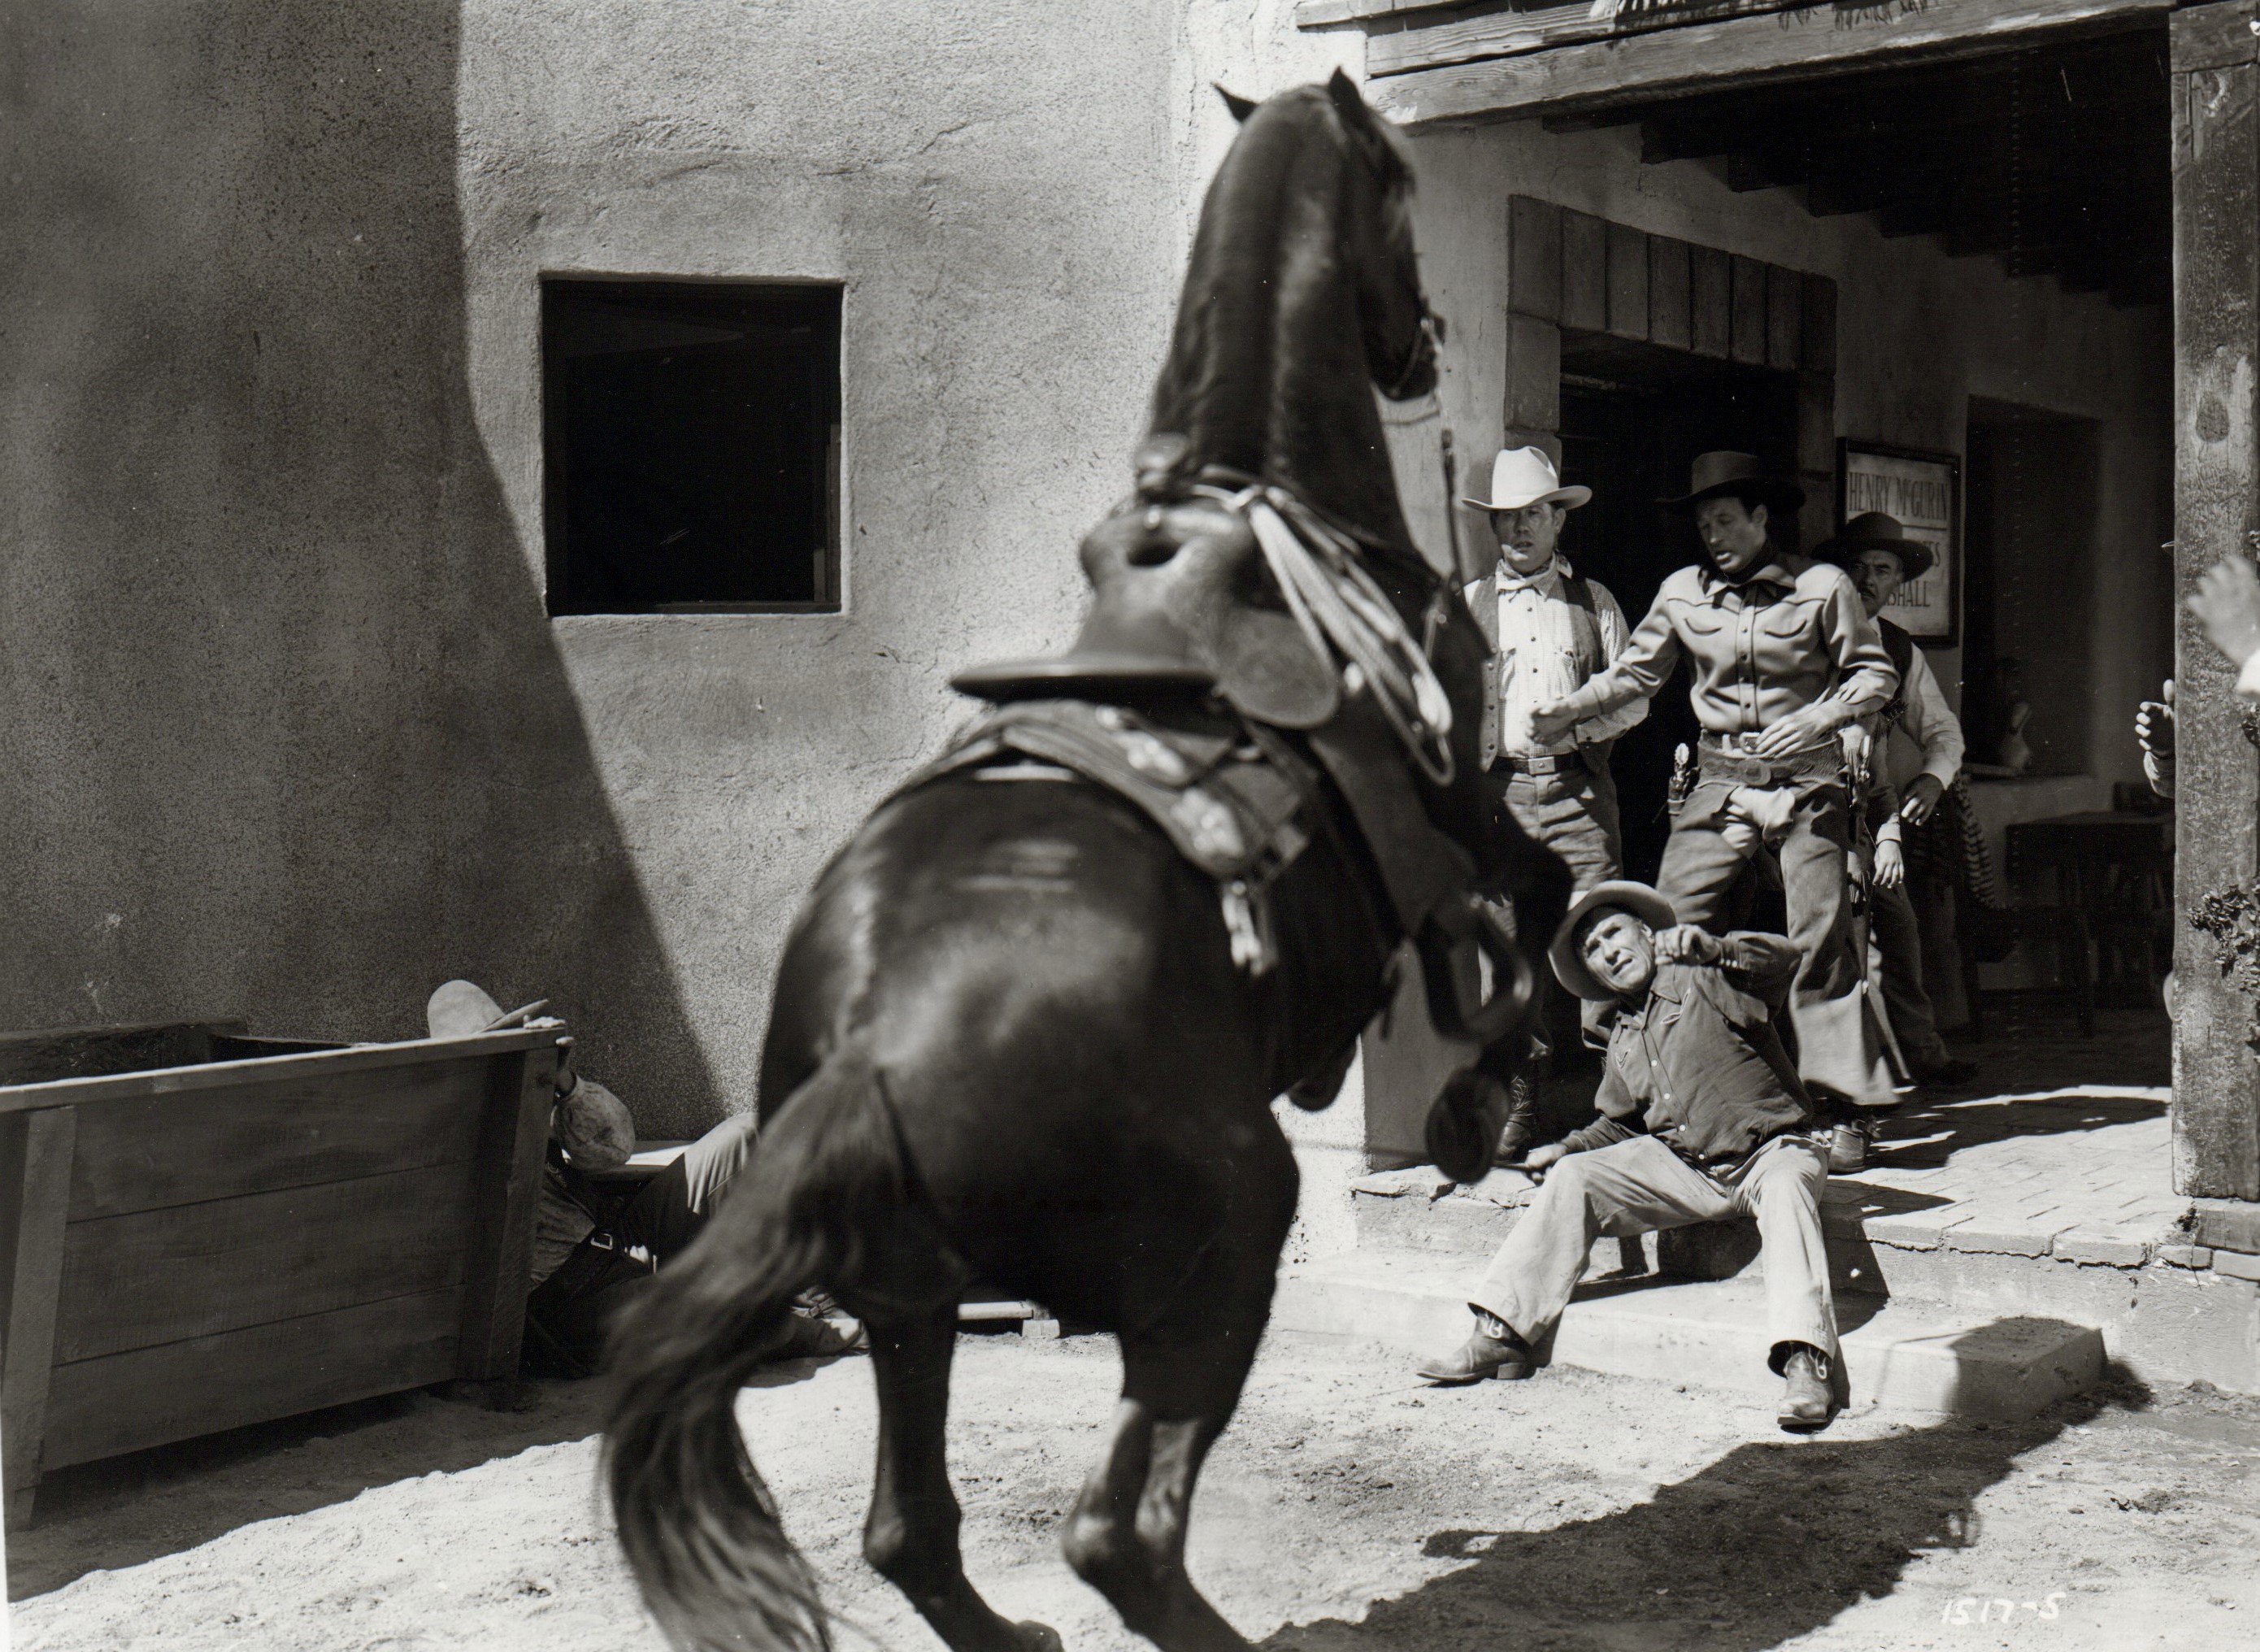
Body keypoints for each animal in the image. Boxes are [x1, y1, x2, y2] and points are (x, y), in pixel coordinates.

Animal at [601, 71, 1554, 1652]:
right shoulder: (1463, 809)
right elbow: (1537, 922)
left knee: (909, 1530)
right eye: (1402, 199)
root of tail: (874, 1047)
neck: (1268, 511)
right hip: (1225, 1248)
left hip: (911, 1307)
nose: (1423, 340)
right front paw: (1490, 1095)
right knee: (1122, 1533)